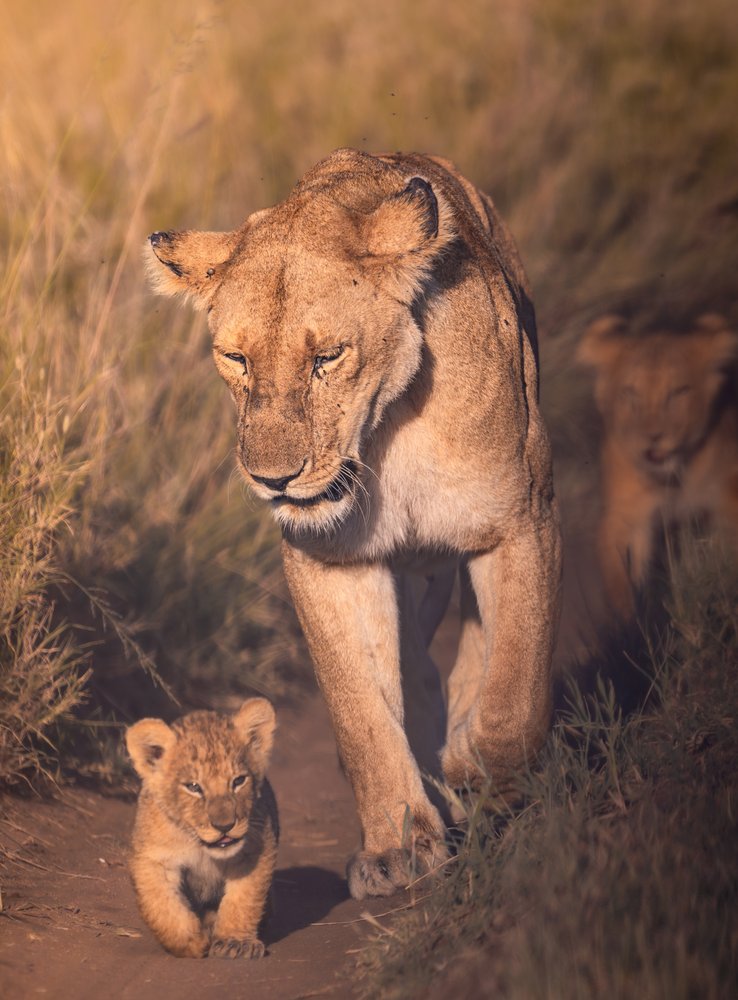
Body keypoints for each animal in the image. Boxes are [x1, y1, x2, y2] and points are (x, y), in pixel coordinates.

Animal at [125, 698, 278, 958]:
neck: (200, 846)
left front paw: (235, 942)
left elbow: (243, 899)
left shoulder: (256, 849)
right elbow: (162, 905)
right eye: (194, 787)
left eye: (239, 781)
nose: (224, 826)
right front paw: (192, 942)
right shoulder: (153, 858)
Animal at [145, 148, 561, 899]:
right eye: (236, 358)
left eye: (327, 357)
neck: (383, 437)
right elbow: (361, 713)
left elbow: (518, 681)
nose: (274, 479)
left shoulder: (520, 515)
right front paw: (398, 846)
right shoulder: (329, 559)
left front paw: (477, 766)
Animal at [578, 313, 738, 617]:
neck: (675, 478)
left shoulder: (727, 499)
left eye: (678, 392)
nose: (653, 438)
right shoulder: (624, 514)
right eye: (630, 393)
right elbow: (619, 577)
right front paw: (631, 620)